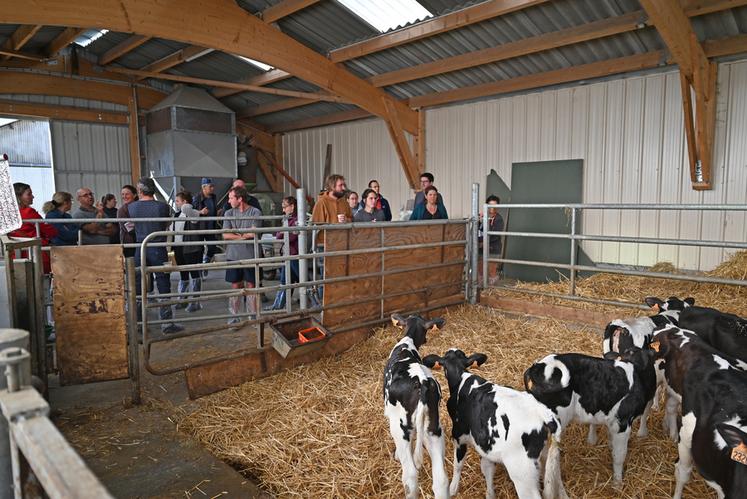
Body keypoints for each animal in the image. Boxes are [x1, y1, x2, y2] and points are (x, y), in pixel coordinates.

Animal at [382, 314, 448, 499]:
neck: (407, 344)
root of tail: (422, 382)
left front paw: (397, 455)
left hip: (400, 426)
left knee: (410, 475)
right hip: (434, 429)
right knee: (441, 479)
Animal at [420, 350, 568, 499]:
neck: (461, 377)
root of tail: (544, 415)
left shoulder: (458, 435)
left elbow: (458, 464)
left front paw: (452, 488)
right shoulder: (486, 445)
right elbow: (487, 468)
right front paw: (490, 493)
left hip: (523, 473)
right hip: (549, 458)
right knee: (558, 482)